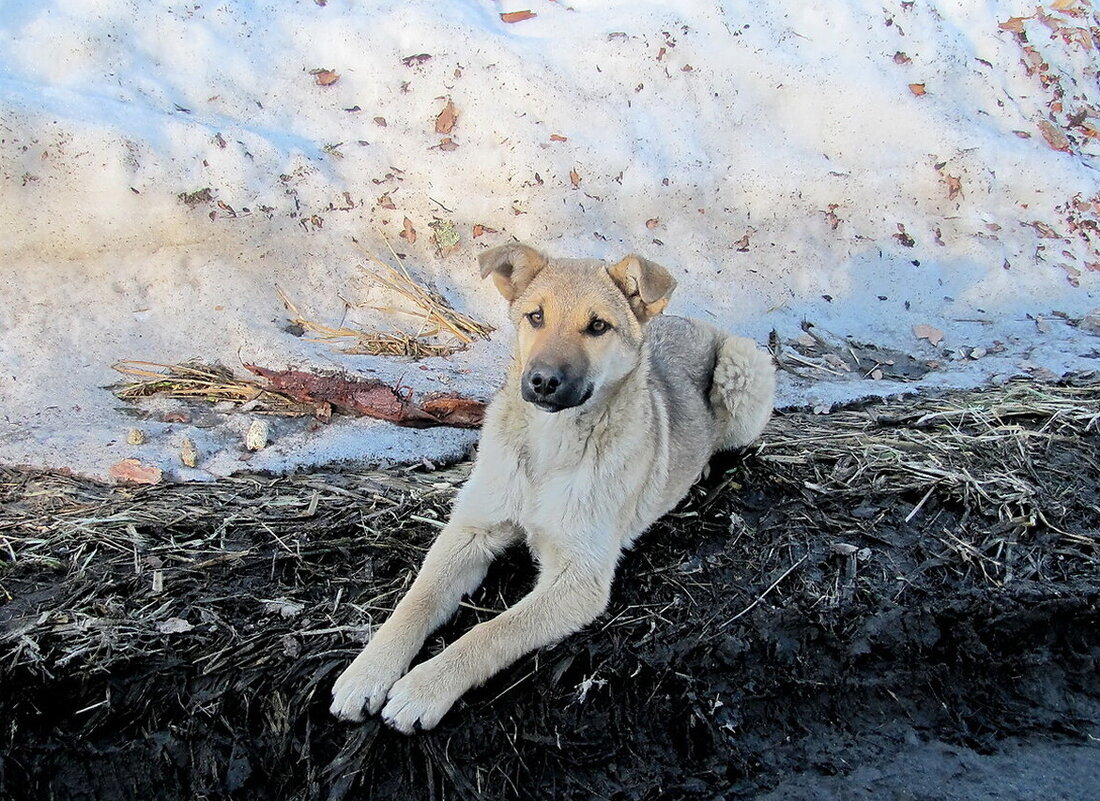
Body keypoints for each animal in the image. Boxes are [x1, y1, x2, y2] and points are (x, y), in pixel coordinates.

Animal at [325, 244, 774, 730]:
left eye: (598, 326)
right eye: (535, 317)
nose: (541, 381)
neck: (548, 448)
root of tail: (699, 322)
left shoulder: (579, 579)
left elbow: (492, 631)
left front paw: (426, 686)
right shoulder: (471, 532)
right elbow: (418, 600)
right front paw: (369, 671)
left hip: (745, 368)